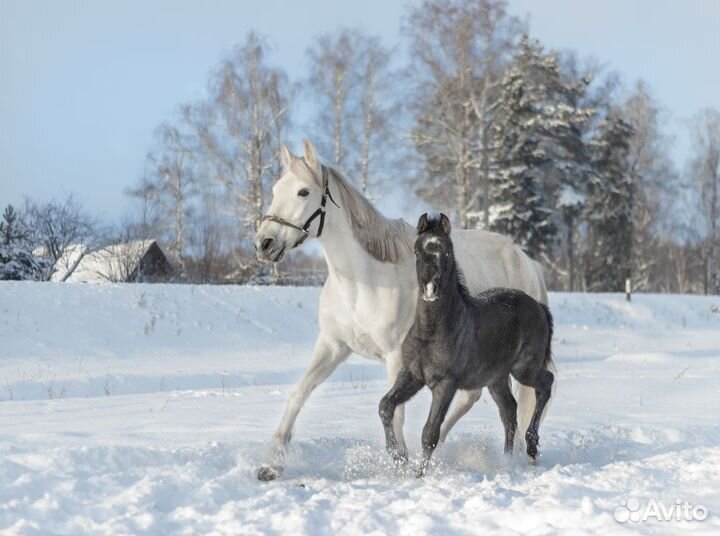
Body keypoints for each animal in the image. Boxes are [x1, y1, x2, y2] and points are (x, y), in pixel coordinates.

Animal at [380, 215, 556, 478]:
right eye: (417, 251)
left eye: (447, 252)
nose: (430, 288)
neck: (433, 331)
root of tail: (539, 306)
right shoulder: (412, 375)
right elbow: (386, 406)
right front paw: (397, 456)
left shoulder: (446, 384)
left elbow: (430, 433)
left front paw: (419, 475)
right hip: (497, 379)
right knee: (509, 411)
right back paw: (506, 460)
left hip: (524, 368)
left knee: (545, 384)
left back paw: (531, 449)